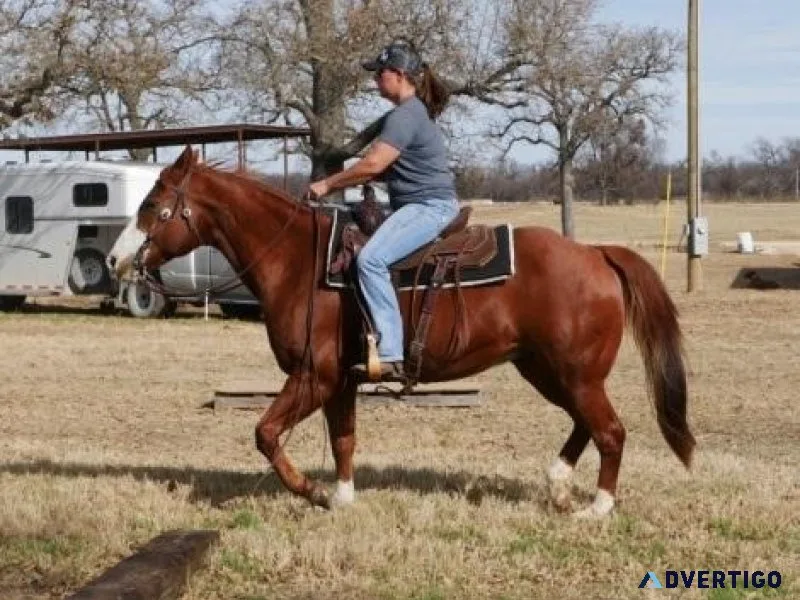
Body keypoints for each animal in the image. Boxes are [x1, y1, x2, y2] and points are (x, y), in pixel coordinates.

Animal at [107, 146, 695, 518]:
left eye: (153, 206)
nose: (114, 259)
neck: (297, 259)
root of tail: (595, 253)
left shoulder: (313, 375)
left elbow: (266, 434)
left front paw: (311, 493)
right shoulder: (340, 380)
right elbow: (343, 439)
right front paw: (341, 499)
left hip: (575, 374)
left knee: (610, 431)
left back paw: (598, 508)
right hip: (548, 370)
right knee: (584, 424)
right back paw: (557, 485)